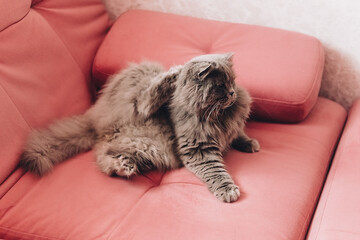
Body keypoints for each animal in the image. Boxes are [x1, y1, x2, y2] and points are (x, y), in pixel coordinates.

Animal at [19, 53, 258, 202]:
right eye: (220, 86)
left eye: (232, 81)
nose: (232, 93)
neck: (219, 115)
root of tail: (96, 116)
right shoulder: (198, 149)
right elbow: (215, 171)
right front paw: (228, 191)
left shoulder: (231, 127)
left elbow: (238, 134)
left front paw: (250, 144)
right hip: (144, 125)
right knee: (138, 109)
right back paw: (173, 74)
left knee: (107, 155)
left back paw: (126, 166)